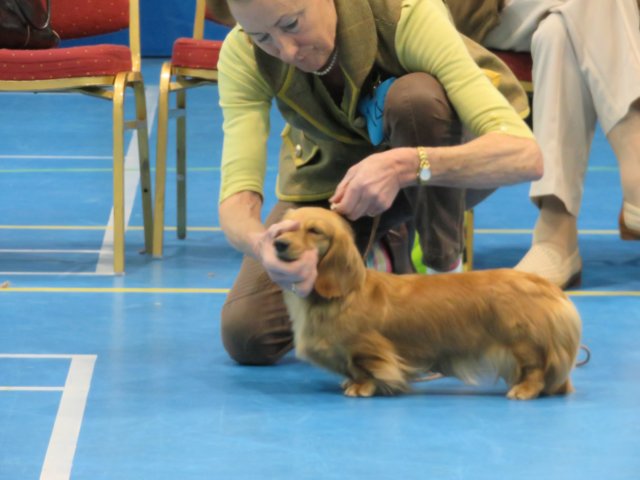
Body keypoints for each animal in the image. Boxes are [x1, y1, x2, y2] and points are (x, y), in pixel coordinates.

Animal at [274, 207, 582, 399]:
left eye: (314, 230)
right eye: (283, 229)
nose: (278, 244)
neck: (346, 294)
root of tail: (548, 287)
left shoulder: (367, 349)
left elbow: (368, 370)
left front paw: (362, 386)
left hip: (524, 343)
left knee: (536, 370)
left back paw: (523, 390)